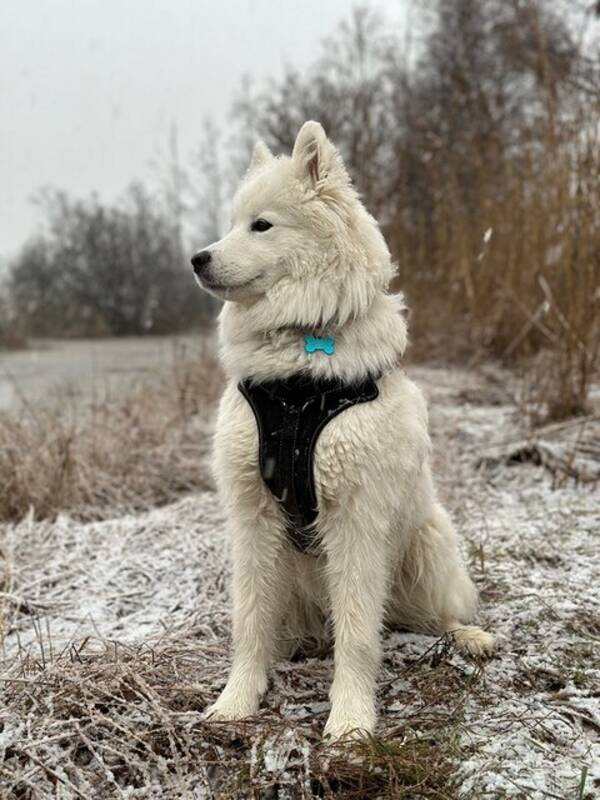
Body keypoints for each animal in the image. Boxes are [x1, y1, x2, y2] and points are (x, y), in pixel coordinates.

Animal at [191, 122, 492, 740]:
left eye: (262, 225)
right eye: (232, 223)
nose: (197, 259)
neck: (297, 381)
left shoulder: (355, 517)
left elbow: (357, 634)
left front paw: (350, 722)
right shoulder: (253, 516)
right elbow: (249, 622)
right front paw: (236, 701)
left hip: (427, 547)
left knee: (434, 617)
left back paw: (469, 636)